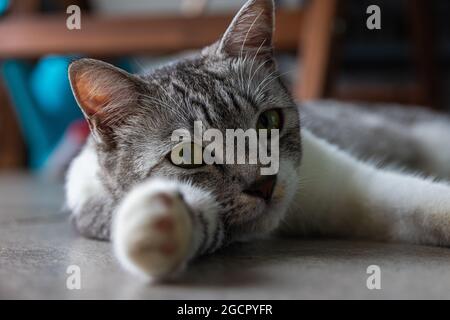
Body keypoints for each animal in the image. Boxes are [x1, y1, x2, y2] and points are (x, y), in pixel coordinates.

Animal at [64, 0, 450, 280]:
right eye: (186, 154)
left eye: (268, 121)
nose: (264, 184)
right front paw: (159, 223)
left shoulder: (352, 186)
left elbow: (421, 201)